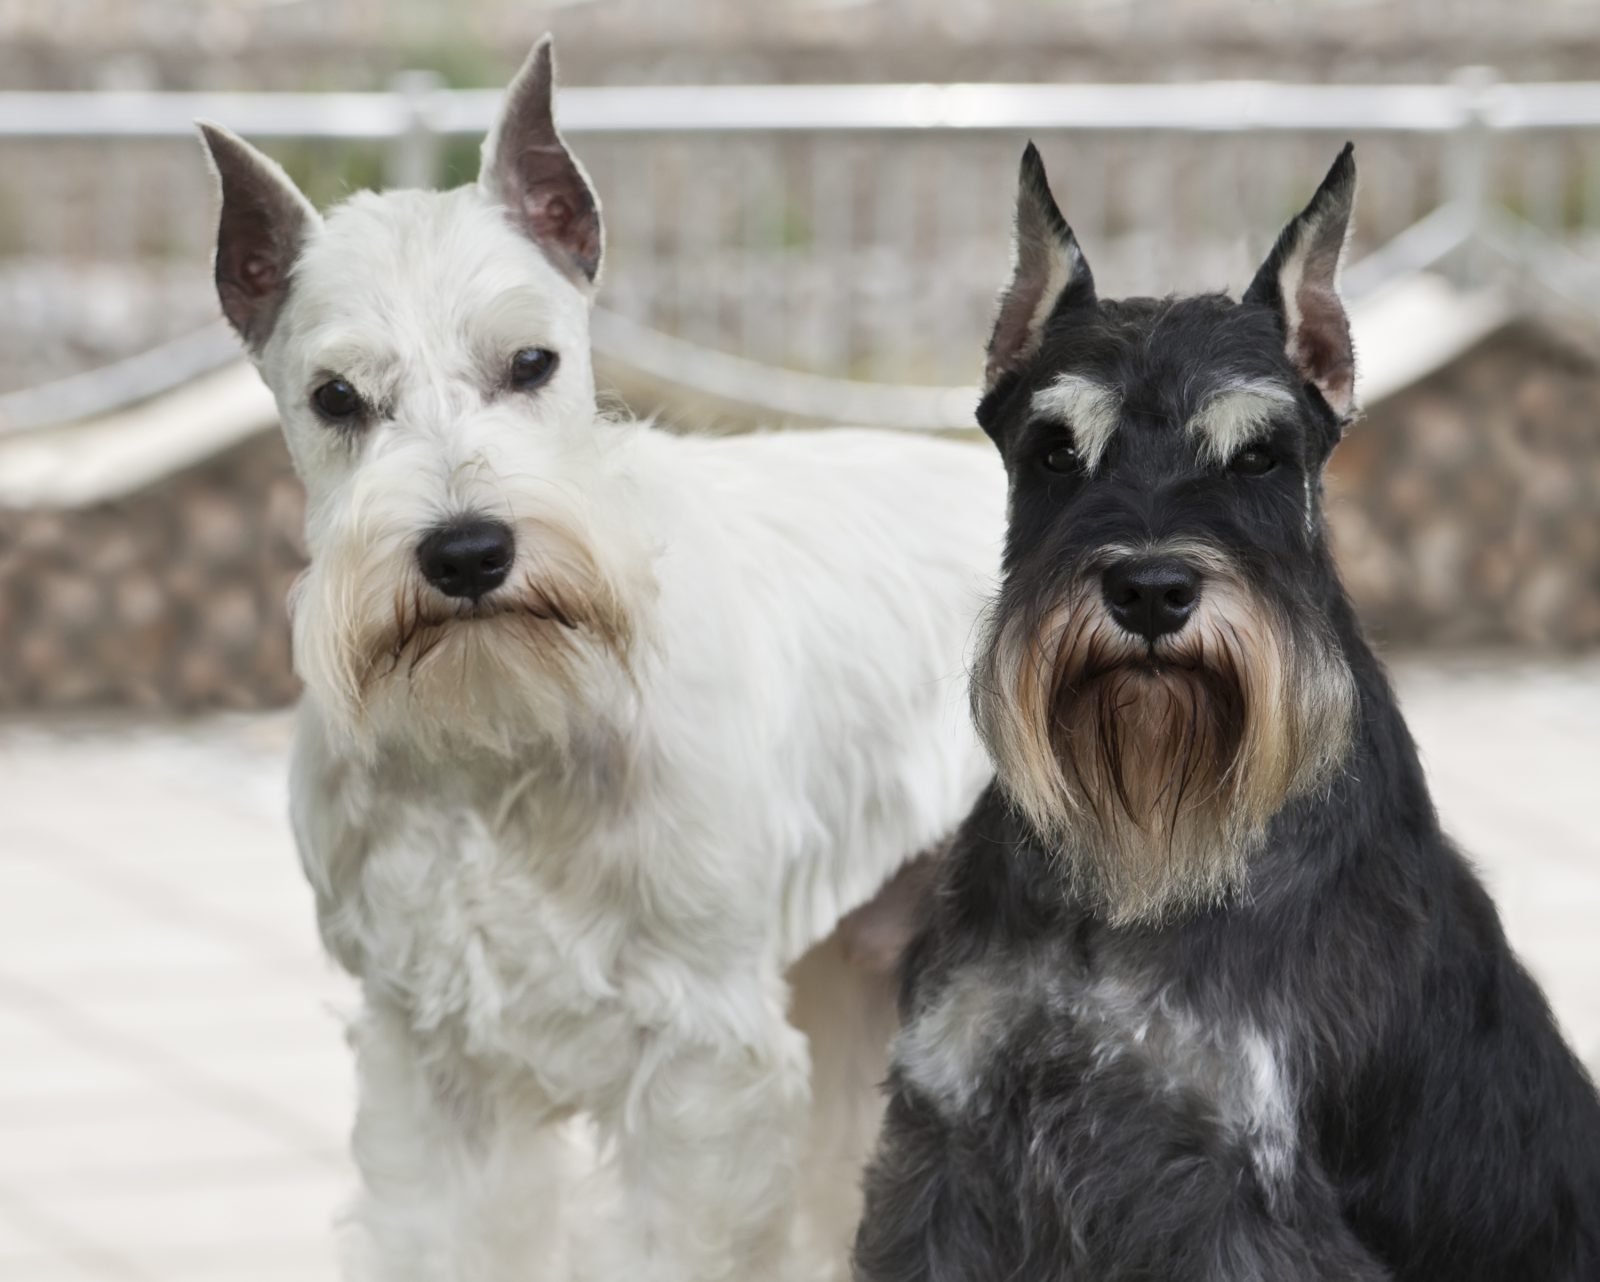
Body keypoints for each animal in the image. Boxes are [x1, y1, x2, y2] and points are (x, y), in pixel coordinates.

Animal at [196, 35, 998, 1273]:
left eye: (531, 362)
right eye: (335, 396)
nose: (467, 551)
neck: (496, 736)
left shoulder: (704, 1066)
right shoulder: (431, 1067)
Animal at [851, 144, 1600, 1273]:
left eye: (1259, 454)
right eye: (1054, 449)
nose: (1151, 590)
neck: (1132, 867)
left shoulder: (1236, 1192)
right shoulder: (947, 1140)